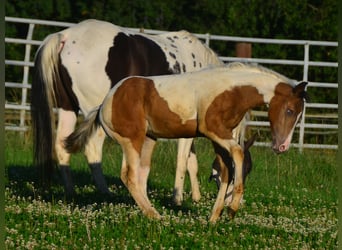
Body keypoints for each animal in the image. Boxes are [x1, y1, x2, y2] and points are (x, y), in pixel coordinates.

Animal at [31, 18, 227, 202]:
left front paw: (195, 197)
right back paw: (105, 193)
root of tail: (65, 37)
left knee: (61, 146)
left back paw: (71, 193)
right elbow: (182, 160)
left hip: (68, 107)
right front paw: (177, 198)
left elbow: (191, 162)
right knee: (92, 148)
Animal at [63, 63, 308, 223]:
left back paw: (149, 212)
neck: (231, 90)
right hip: (132, 140)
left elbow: (226, 171)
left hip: (149, 140)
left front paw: (214, 217)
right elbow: (237, 154)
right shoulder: (213, 130)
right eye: (289, 110)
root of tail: (104, 104)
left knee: (141, 175)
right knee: (129, 175)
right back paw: (155, 215)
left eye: (297, 114)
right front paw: (232, 209)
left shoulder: (219, 138)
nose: (281, 147)